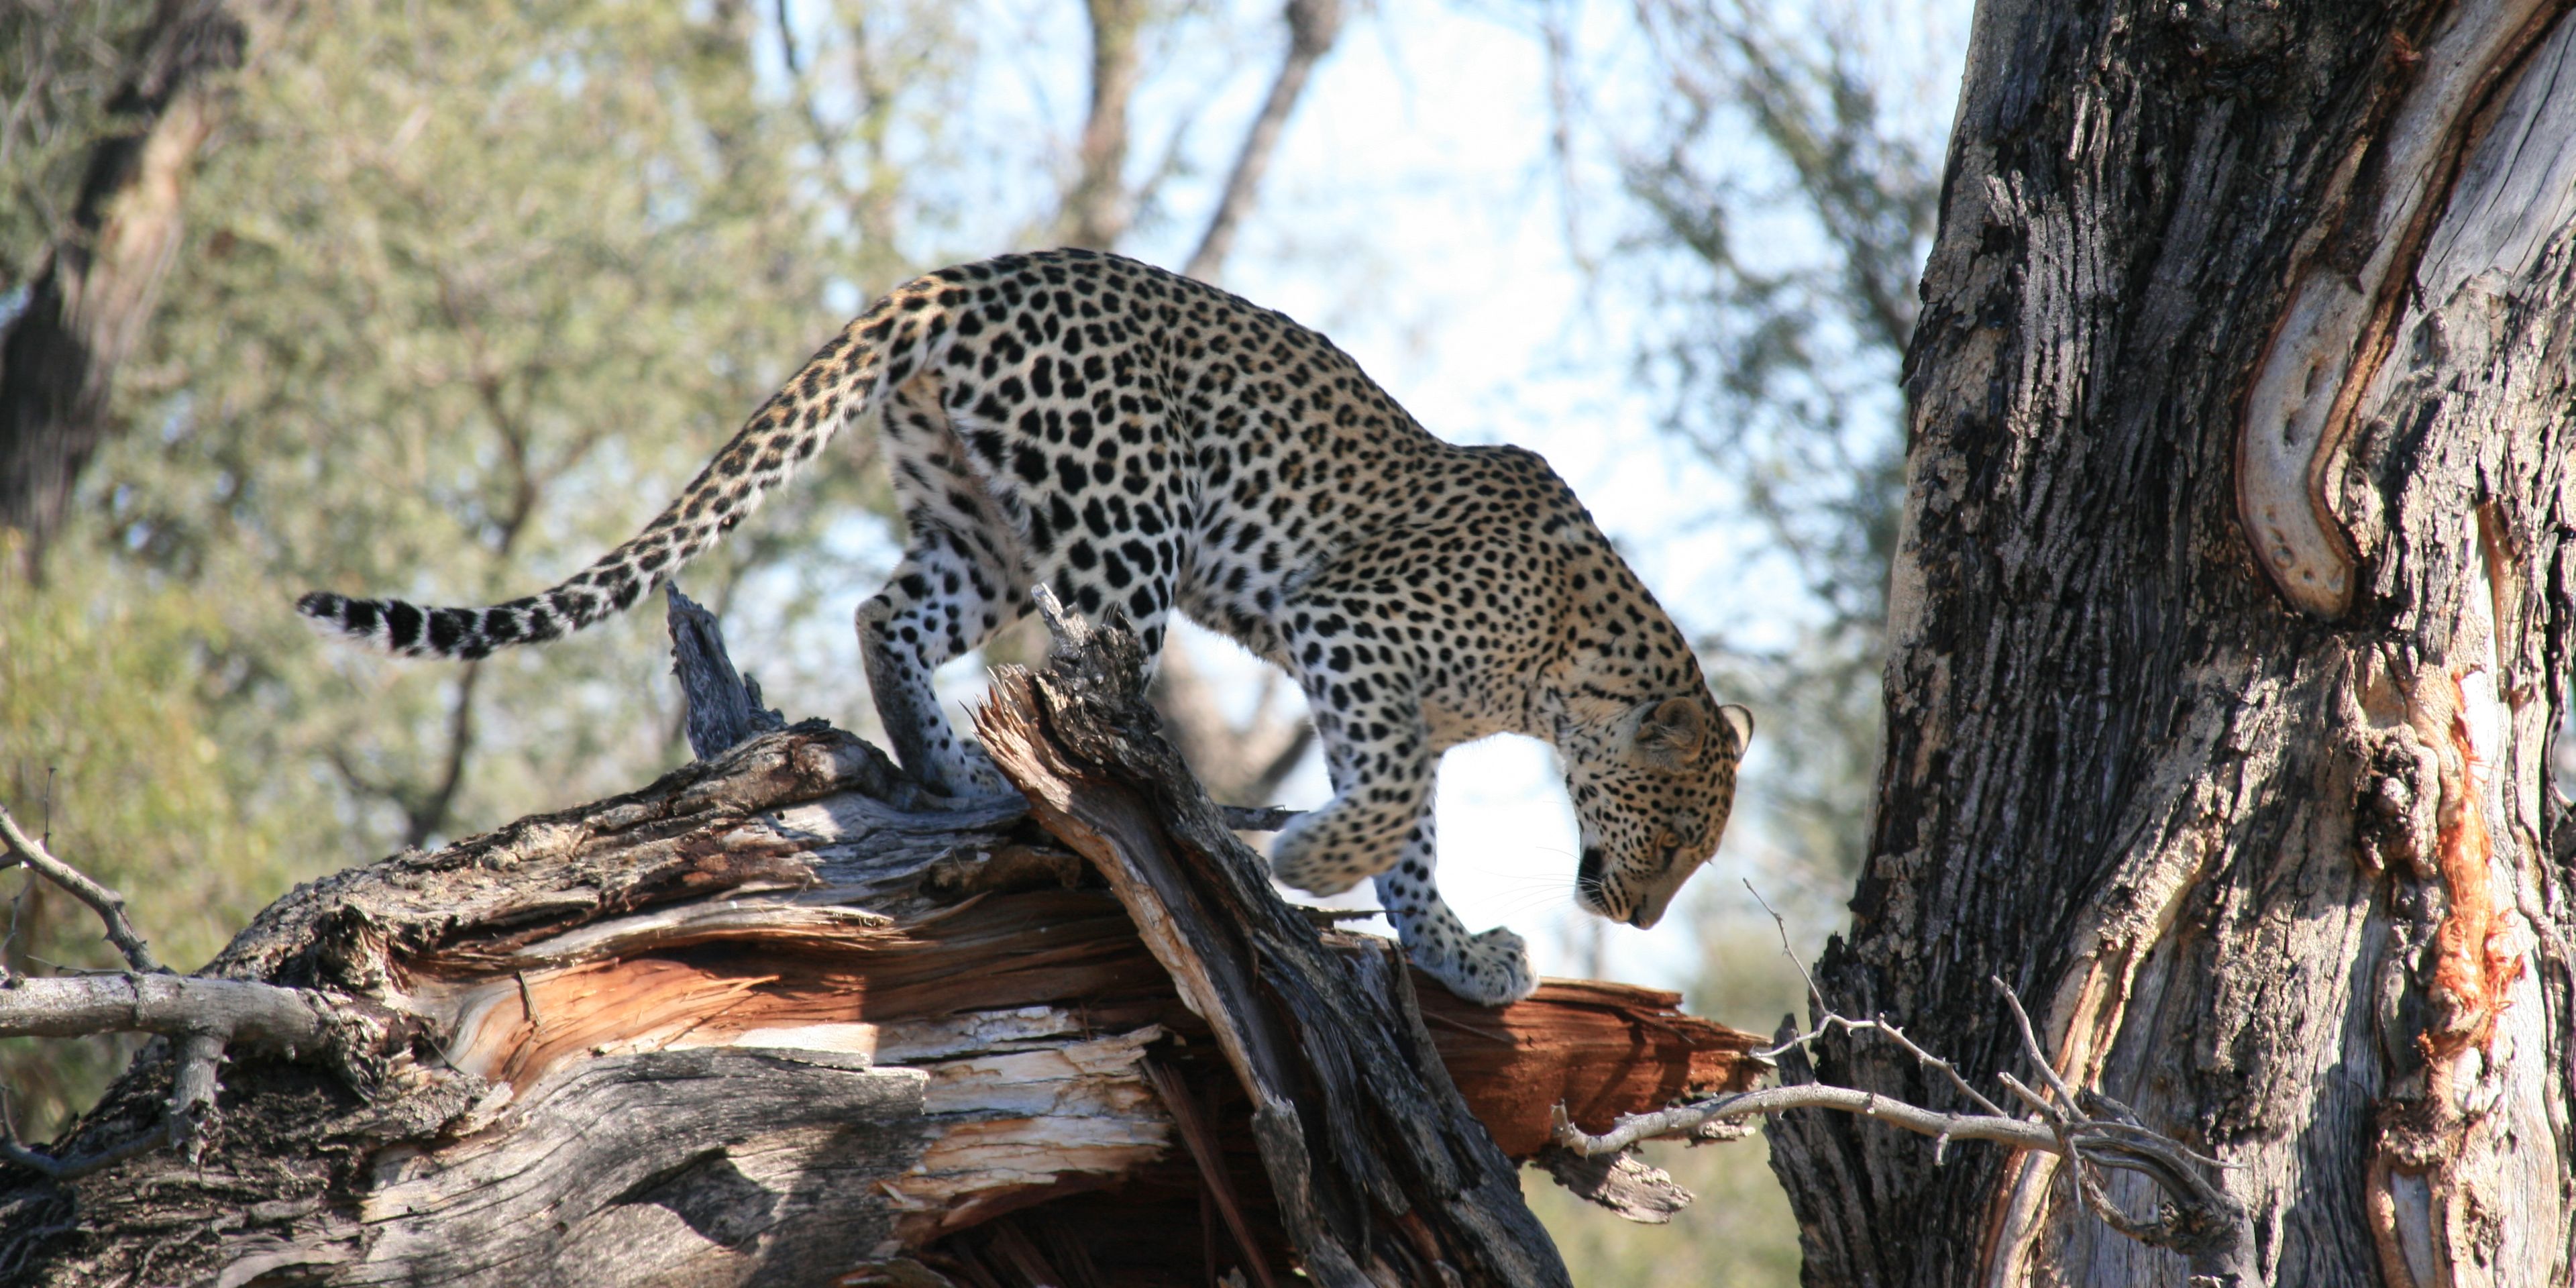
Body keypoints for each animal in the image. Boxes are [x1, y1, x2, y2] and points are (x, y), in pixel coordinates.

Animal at [298, 247, 1752, 1006]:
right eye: (1680, 838)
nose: (1636, 918)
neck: (1566, 667)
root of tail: (968, 272)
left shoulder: (1389, 693)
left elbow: (1419, 832)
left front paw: (1453, 950)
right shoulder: (1349, 631)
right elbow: (1393, 806)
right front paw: (1321, 862)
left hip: (983, 527)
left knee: (887, 609)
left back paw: (952, 772)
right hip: (1126, 525)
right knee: (1088, 685)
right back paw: (1136, 816)